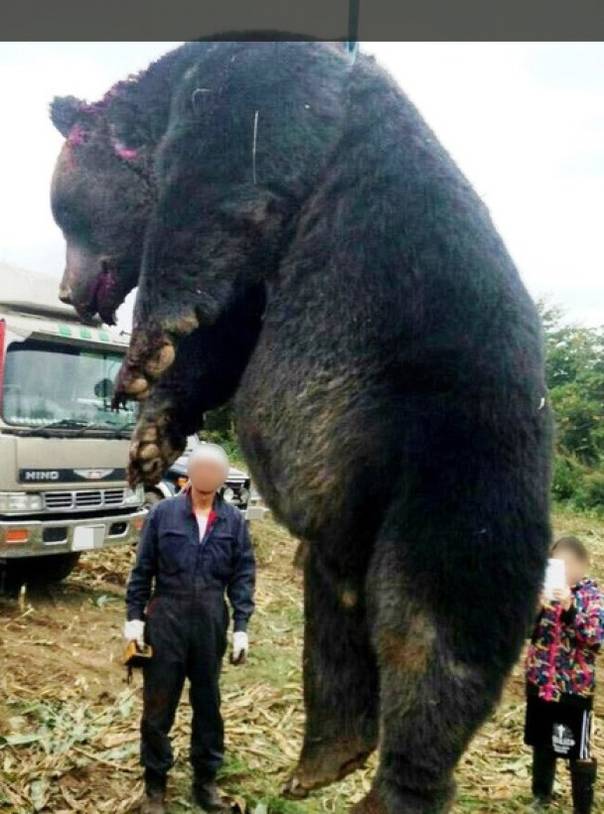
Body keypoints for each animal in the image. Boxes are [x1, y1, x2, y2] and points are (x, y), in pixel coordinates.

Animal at [51, 40, 552, 813]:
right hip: (352, 519)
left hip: (459, 471)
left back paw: (393, 787)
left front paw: (144, 349)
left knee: (432, 638)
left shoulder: (271, 100)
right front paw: (151, 439)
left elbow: (223, 181)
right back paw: (324, 755)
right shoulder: (262, 281)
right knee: (339, 626)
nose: (69, 292)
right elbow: (221, 338)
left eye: (63, 217)